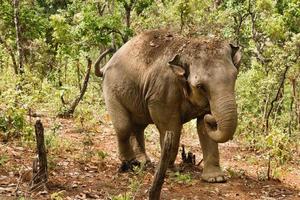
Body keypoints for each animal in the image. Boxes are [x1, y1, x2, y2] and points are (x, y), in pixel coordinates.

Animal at [98, 29, 241, 183]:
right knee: (123, 126)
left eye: (235, 77)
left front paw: (215, 178)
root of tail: (106, 65)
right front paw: (170, 171)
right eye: (200, 86)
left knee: (138, 126)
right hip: (111, 89)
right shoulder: (162, 91)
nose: (212, 118)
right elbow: (170, 125)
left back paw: (143, 162)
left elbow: (203, 127)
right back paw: (129, 163)